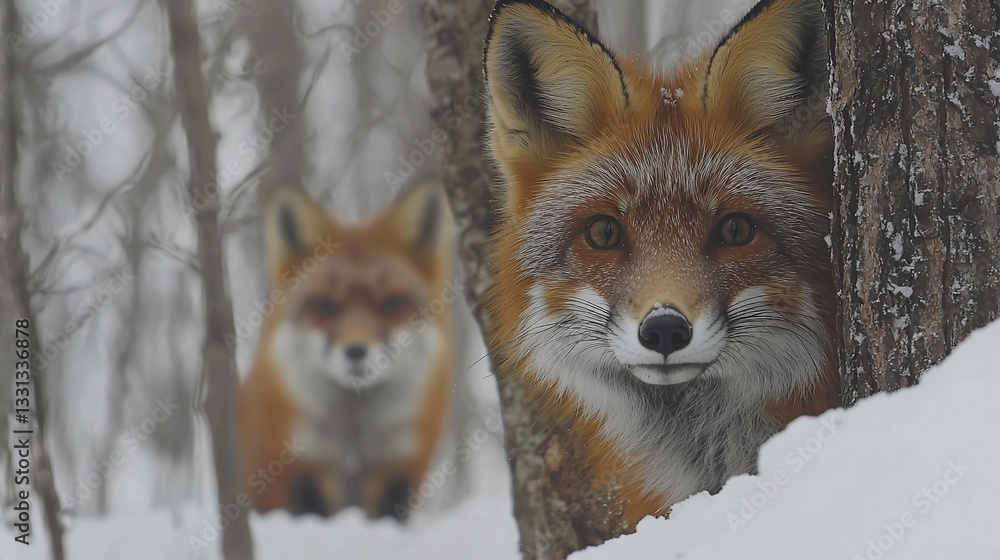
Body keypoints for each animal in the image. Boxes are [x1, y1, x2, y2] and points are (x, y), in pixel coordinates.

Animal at [237, 178, 460, 520]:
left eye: (391, 303)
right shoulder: (298, 466)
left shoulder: (397, 468)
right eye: (325, 305)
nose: (356, 351)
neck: (354, 439)